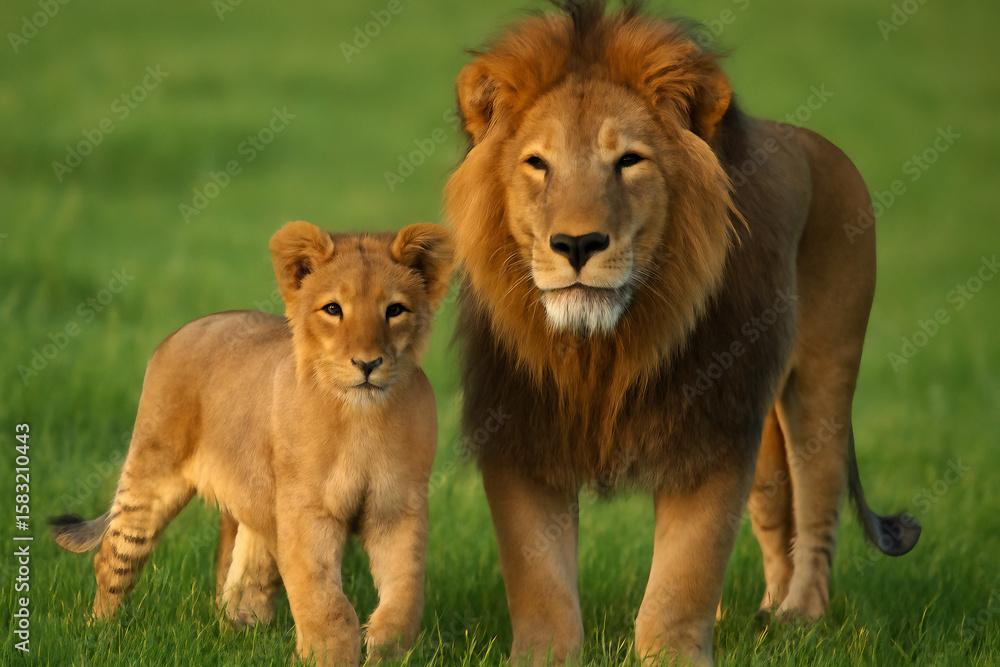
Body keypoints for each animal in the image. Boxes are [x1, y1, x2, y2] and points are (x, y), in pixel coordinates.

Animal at [50, 221, 454, 666]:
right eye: (333, 309)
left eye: (394, 310)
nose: (367, 363)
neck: (361, 419)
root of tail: (185, 329)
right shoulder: (306, 510)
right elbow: (325, 602)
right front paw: (330, 656)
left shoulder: (398, 508)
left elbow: (405, 593)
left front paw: (386, 650)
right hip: (151, 474)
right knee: (112, 559)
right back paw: (98, 634)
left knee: (244, 580)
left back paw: (242, 633)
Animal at [444, 2, 920, 665]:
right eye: (537, 164)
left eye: (629, 161)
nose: (576, 245)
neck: (603, 347)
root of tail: (814, 141)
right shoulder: (522, 430)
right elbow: (539, 582)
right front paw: (543, 655)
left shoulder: (712, 425)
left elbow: (684, 572)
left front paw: (673, 651)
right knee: (776, 507)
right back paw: (761, 615)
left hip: (823, 376)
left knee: (818, 501)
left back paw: (801, 619)